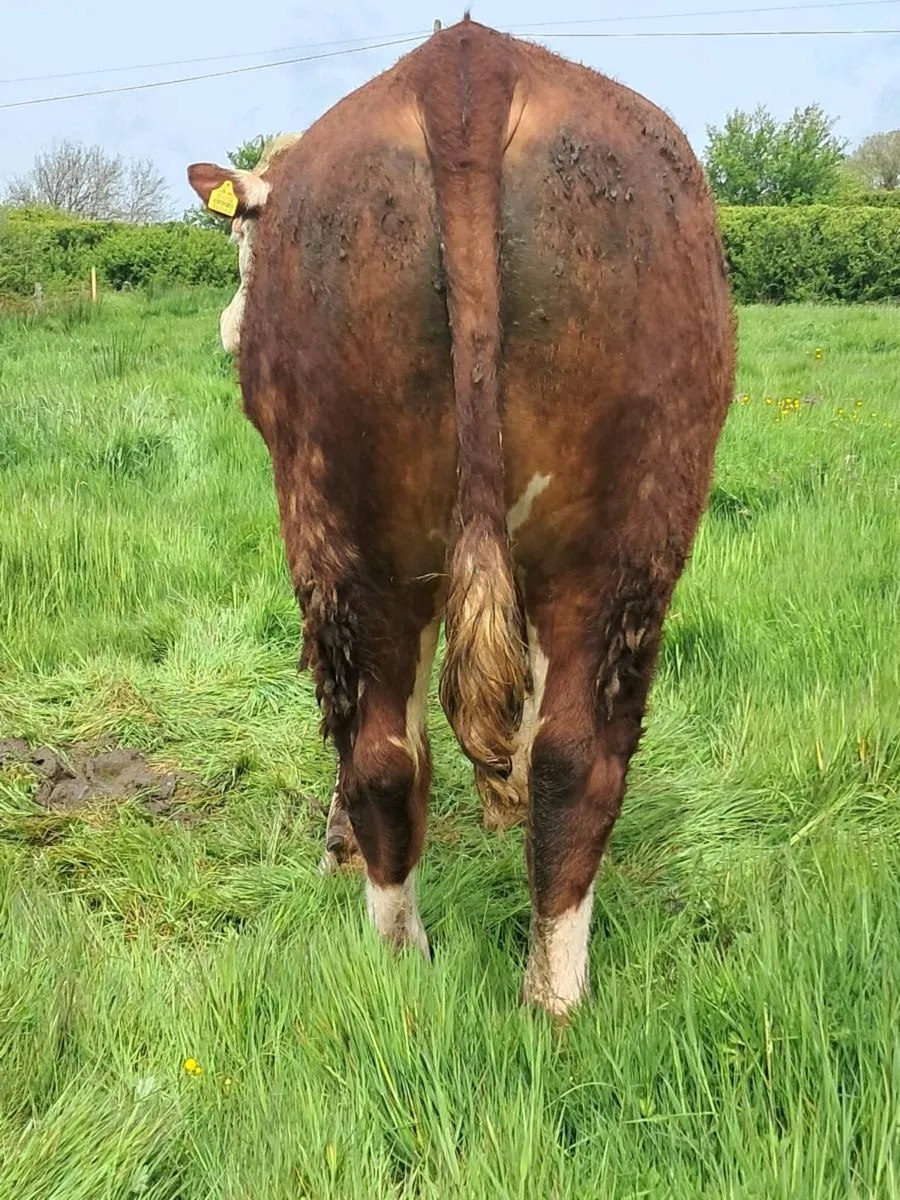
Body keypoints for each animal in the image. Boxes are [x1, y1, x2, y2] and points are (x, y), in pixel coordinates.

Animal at [187, 17, 735, 1017]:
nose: (230, 327)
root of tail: (466, 71)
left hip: (353, 529)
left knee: (391, 748)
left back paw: (437, 979)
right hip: (616, 533)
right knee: (551, 756)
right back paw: (534, 998)